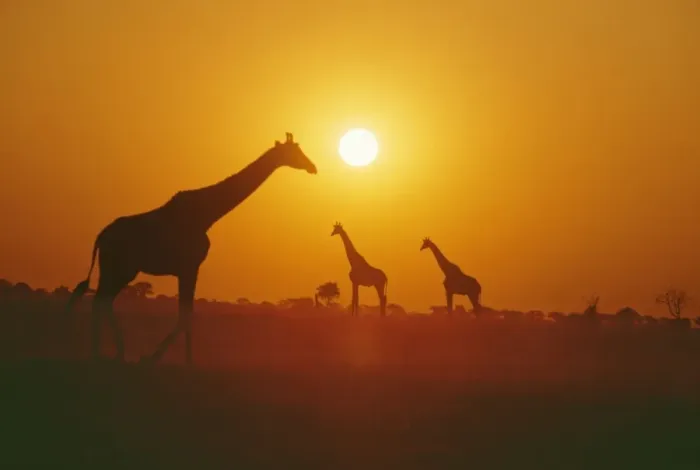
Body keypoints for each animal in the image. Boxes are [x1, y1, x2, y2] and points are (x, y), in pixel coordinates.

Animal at [66, 133, 317, 364]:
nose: (312, 167)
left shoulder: (187, 269)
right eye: (295, 151)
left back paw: (109, 353)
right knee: (101, 301)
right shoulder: (190, 266)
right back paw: (106, 353)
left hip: (118, 269)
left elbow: (186, 313)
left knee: (103, 301)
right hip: (120, 267)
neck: (208, 214)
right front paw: (170, 359)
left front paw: (176, 359)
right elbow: (185, 315)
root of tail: (101, 236)